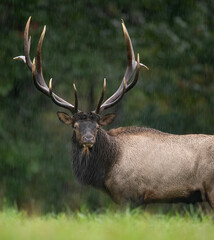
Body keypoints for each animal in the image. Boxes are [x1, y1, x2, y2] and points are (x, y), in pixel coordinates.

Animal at [14, 16, 214, 209]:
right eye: (75, 126)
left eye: (97, 127)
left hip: (211, 188)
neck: (107, 169)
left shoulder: (130, 195)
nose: (88, 139)